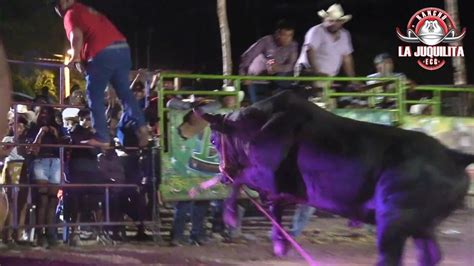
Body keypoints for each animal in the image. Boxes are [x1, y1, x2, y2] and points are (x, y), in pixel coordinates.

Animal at [192, 90, 470, 264]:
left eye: (214, 140)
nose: (223, 172)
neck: (260, 125)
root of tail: (454, 156)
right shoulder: (280, 189)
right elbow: (273, 205)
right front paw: (281, 243)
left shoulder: (265, 175)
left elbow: (241, 183)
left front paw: (230, 216)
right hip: (422, 226)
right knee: (429, 255)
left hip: (394, 221)